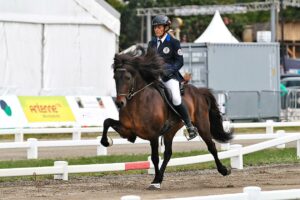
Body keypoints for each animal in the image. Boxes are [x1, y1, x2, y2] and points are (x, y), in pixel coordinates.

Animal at [99, 48, 233, 189]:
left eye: (128, 78)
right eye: (115, 78)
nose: (120, 103)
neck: (137, 102)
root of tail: (199, 91)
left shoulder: (153, 135)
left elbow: (154, 158)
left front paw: (155, 181)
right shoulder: (127, 130)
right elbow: (107, 121)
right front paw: (106, 142)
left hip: (202, 125)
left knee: (211, 146)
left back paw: (223, 170)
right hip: (170, 131)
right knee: (168, 153)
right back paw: (160, 177)